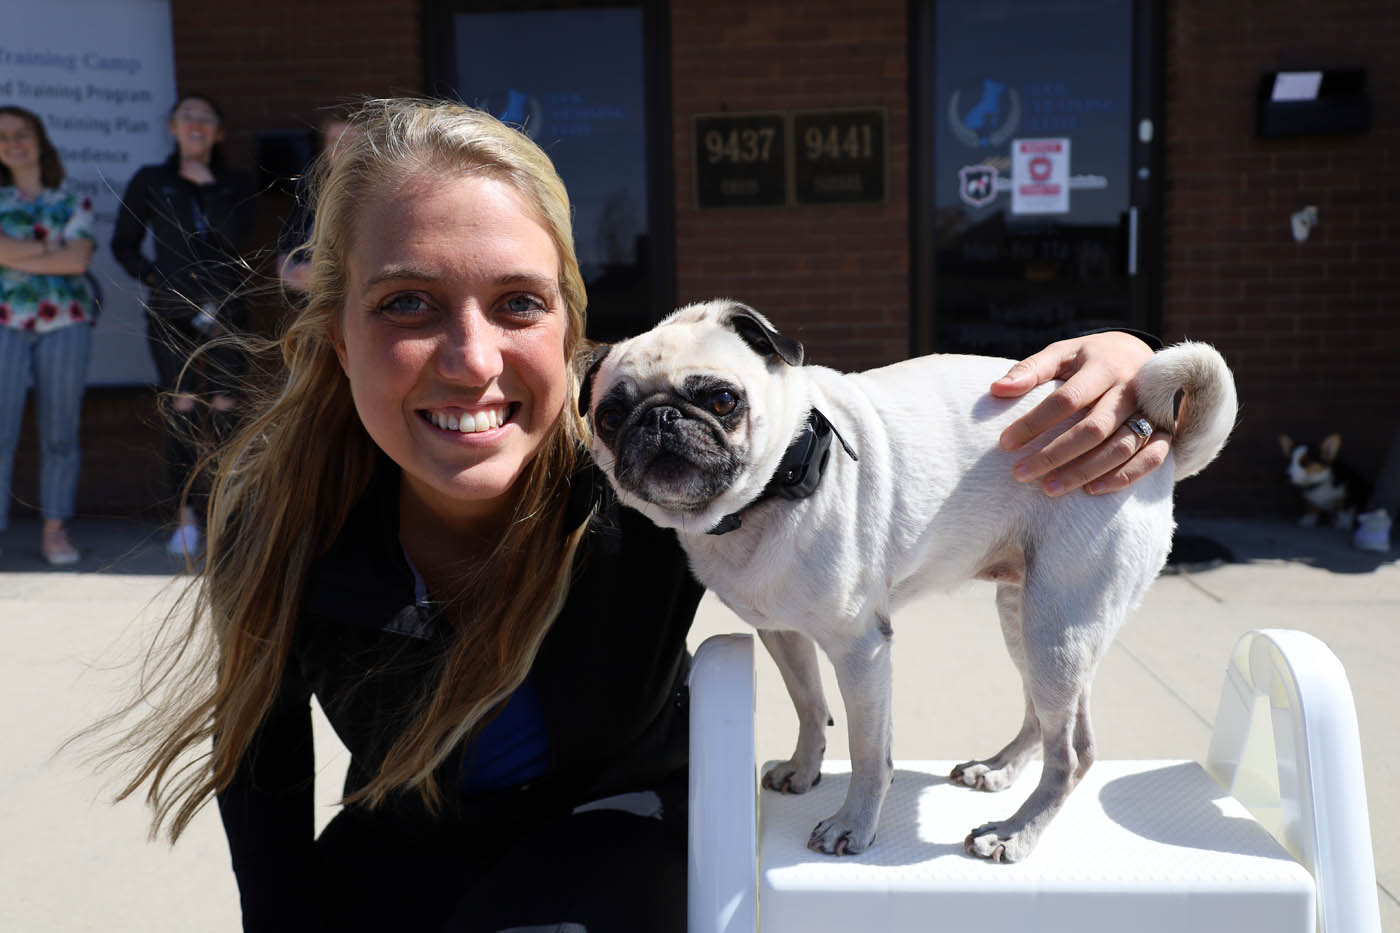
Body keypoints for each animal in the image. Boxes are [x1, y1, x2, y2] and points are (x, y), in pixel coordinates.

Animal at [579, 298, 1237, 857]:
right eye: (609, 417)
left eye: (720, 400)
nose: (660, 418)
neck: (764, 498)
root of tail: (1165, 449)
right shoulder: (782, 633)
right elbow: (809, 705)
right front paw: (803, 769)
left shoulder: (861, 649)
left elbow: (869, 751)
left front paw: (852, 825)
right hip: (1027, 616)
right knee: (1041, 716)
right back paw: (999, 769)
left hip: (1059, 624)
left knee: (1073, 751)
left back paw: (1014, 833)